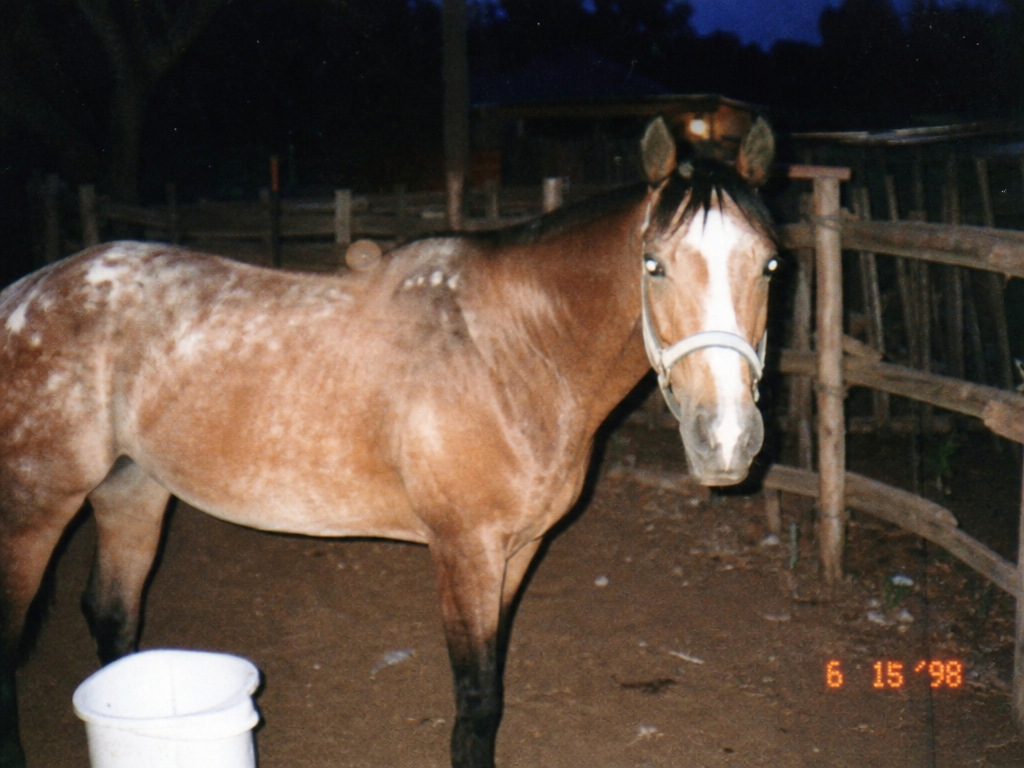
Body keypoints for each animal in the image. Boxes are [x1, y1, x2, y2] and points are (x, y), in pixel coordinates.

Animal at [0, 116, 777, 768]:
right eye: (654, 264)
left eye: (770, 264)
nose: (726, 438)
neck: (514, 347)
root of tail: (24, 295)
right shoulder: (464, 551)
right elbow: (476, 703)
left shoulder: (517, 551)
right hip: (35, 513)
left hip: (132, 491)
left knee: (112, 617)